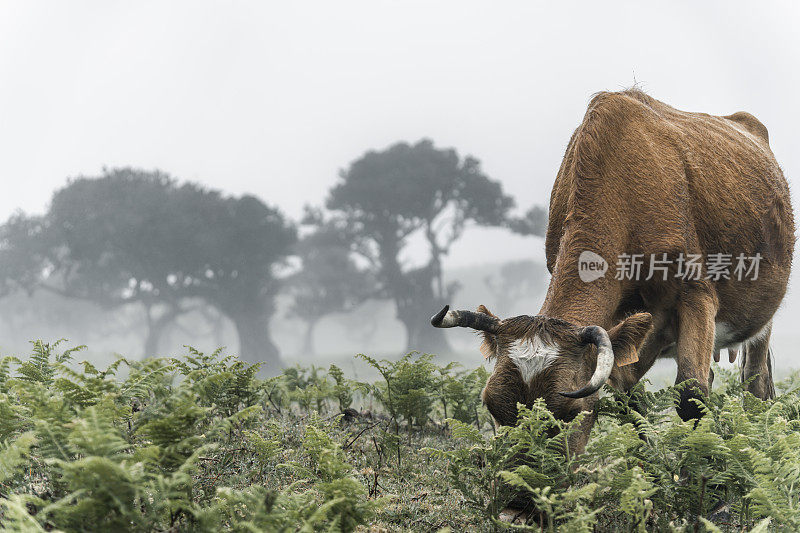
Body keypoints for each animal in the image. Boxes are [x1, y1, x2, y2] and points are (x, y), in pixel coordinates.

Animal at [432, 89, 792, 456]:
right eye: (493, 406)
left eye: (570, 411)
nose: (526, 471)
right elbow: (627, 396)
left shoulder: (695, 296)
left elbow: (692, 394)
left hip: (758, 321)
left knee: (756, 381)